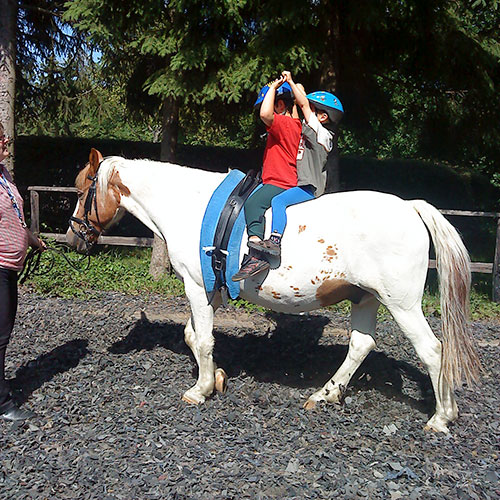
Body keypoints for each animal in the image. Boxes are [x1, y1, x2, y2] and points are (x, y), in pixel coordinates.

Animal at [66, 148, 480, 434]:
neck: (190, 206)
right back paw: (325, 394)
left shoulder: (197, 286)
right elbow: (192, 336)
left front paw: (200, 389)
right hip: (366, 297)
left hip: (402, 303)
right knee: (361, 345)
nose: (72, 237)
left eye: (84, 189)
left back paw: (442, 417)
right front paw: (217, 377)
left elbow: (202, 340)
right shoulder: (210, 290)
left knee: (433, 350)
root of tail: (411, 207)